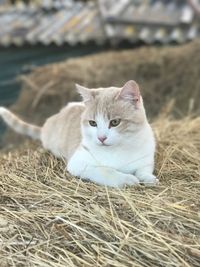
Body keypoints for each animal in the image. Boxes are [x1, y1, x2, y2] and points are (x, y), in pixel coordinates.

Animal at [0, 80, 158, 187]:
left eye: (115, 122)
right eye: (93, 123)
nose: (101, 138)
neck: (120, 149)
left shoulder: (146, 158)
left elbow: (143, 170)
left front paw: (149, 178)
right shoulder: (78, 163)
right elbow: (105, 171)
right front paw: (126, 179)